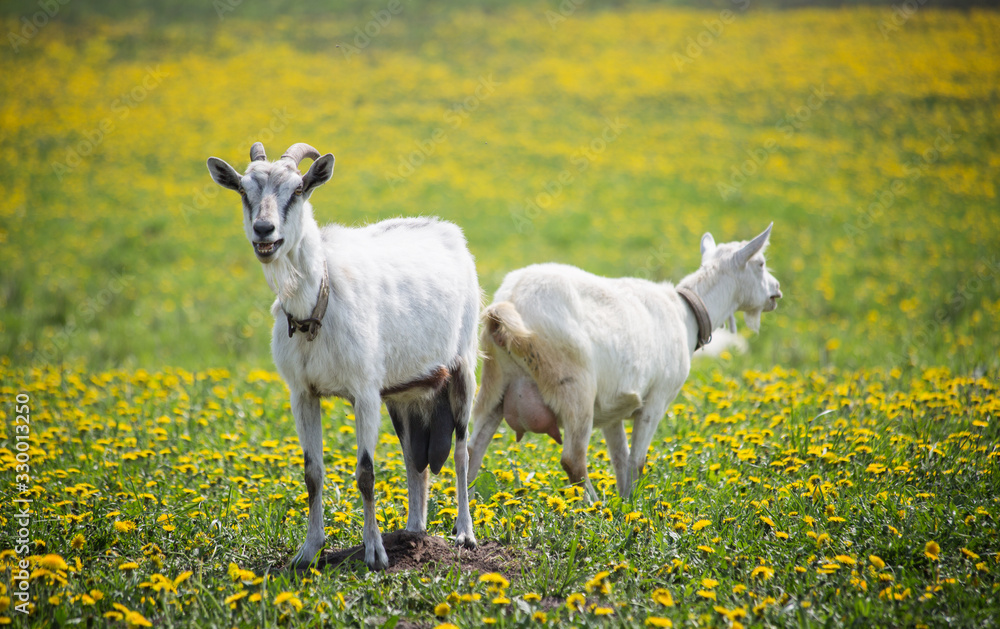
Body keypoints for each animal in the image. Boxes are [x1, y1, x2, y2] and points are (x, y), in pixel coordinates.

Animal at [207, 142, 479, 570]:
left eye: (298, 189)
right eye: (243, 191)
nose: (264, 231)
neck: (318, 306)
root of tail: (446, 231)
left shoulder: (364, 392)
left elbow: (366, 473)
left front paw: (375, 555)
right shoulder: (303, 393)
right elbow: (312, 472)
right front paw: (307, 552)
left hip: (462, 368)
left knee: (462, 450)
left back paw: (464, 534)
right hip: (405, 394)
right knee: (414, 461)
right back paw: (414, 532)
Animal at [466, 225, 782, 500]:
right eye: (761, 263)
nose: (776, 292)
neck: (686, 314)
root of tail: (509, 303)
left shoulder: (612, 410)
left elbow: (620, 459)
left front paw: (624, 504)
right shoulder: (657, 399)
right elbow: (637, 461)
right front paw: (634, 504)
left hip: (494, 386)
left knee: (471, 450)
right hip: (574, 387)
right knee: (573, 459)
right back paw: (593, 507)